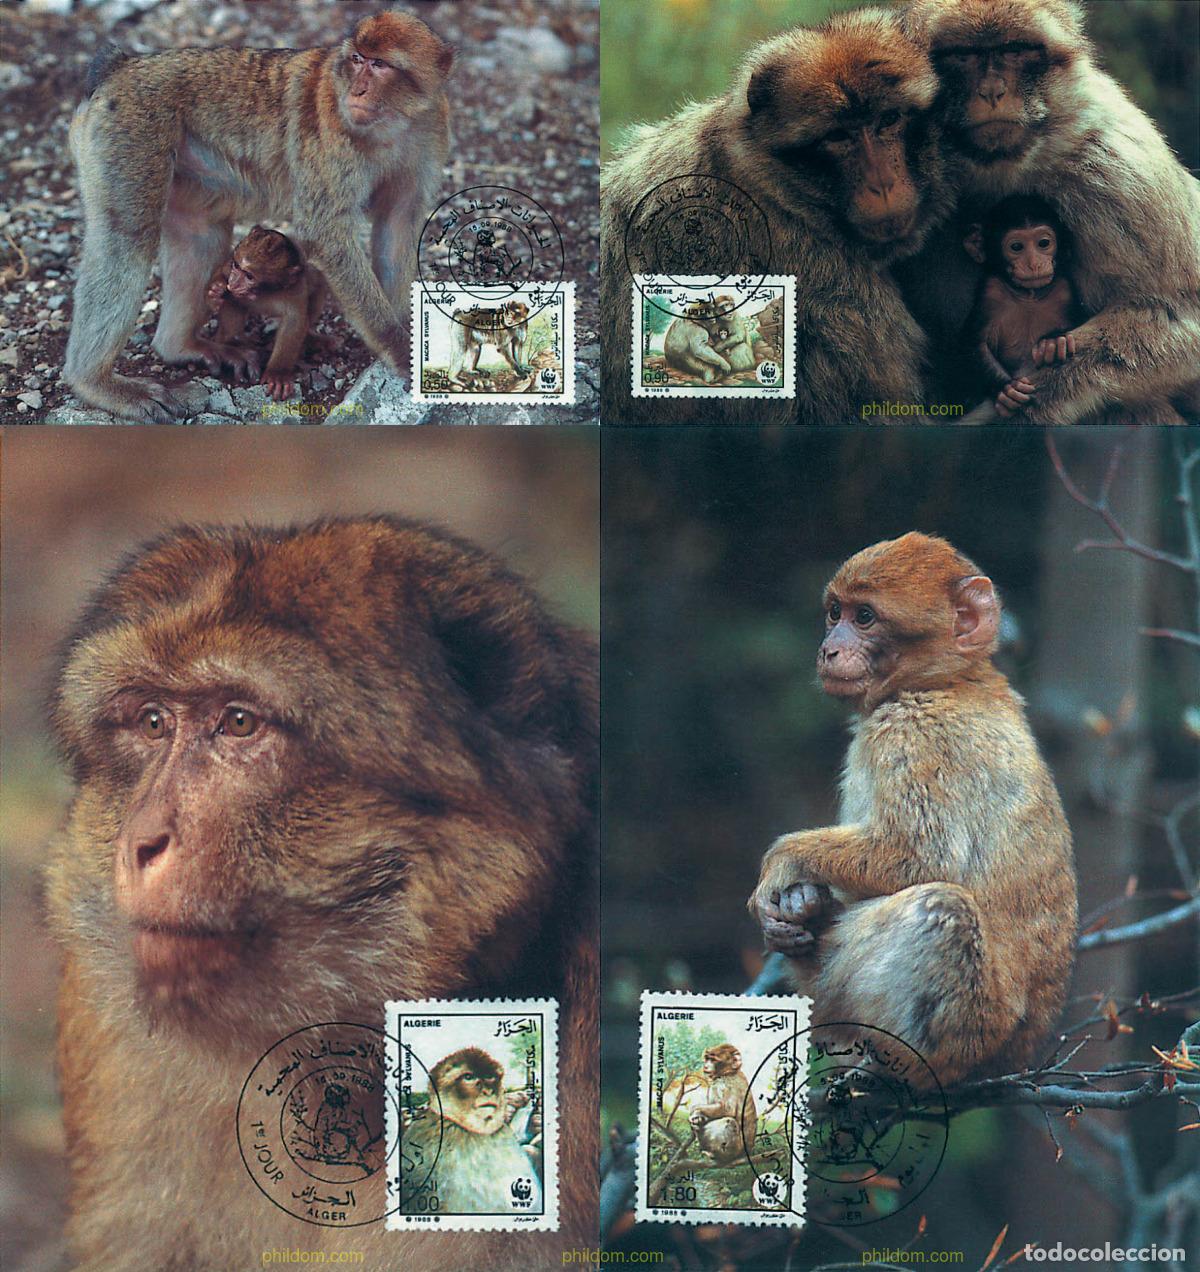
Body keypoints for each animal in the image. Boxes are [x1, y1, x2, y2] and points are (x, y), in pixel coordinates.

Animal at [202, 226, 331, 401]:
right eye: (236, 266)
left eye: (249, 276)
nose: (233, 283)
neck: (264, 292)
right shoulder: (229, 266)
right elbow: (222, 275)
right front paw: (216, 289)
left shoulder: (295, 289)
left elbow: (294, 321)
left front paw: (278, 373)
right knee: (234, 300)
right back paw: (232, 342)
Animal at [749, 533, 1077, 1089]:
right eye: (835, 612)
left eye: (865, 617)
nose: (828, 648)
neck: (946, 681)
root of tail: (1016, 1061)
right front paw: (796, 907)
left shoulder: (913, 734)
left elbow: (921, 857)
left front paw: (783, 865)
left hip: (969, 1029)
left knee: (943, 911)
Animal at [963, 196, 1083, 419]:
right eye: (1017, 247)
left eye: (1043, 243)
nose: (1034, 263)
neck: (1030, 297)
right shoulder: (991, 291)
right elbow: (976, 343)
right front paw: (1006, 391)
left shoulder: (1064, 290)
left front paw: (1053, 343)